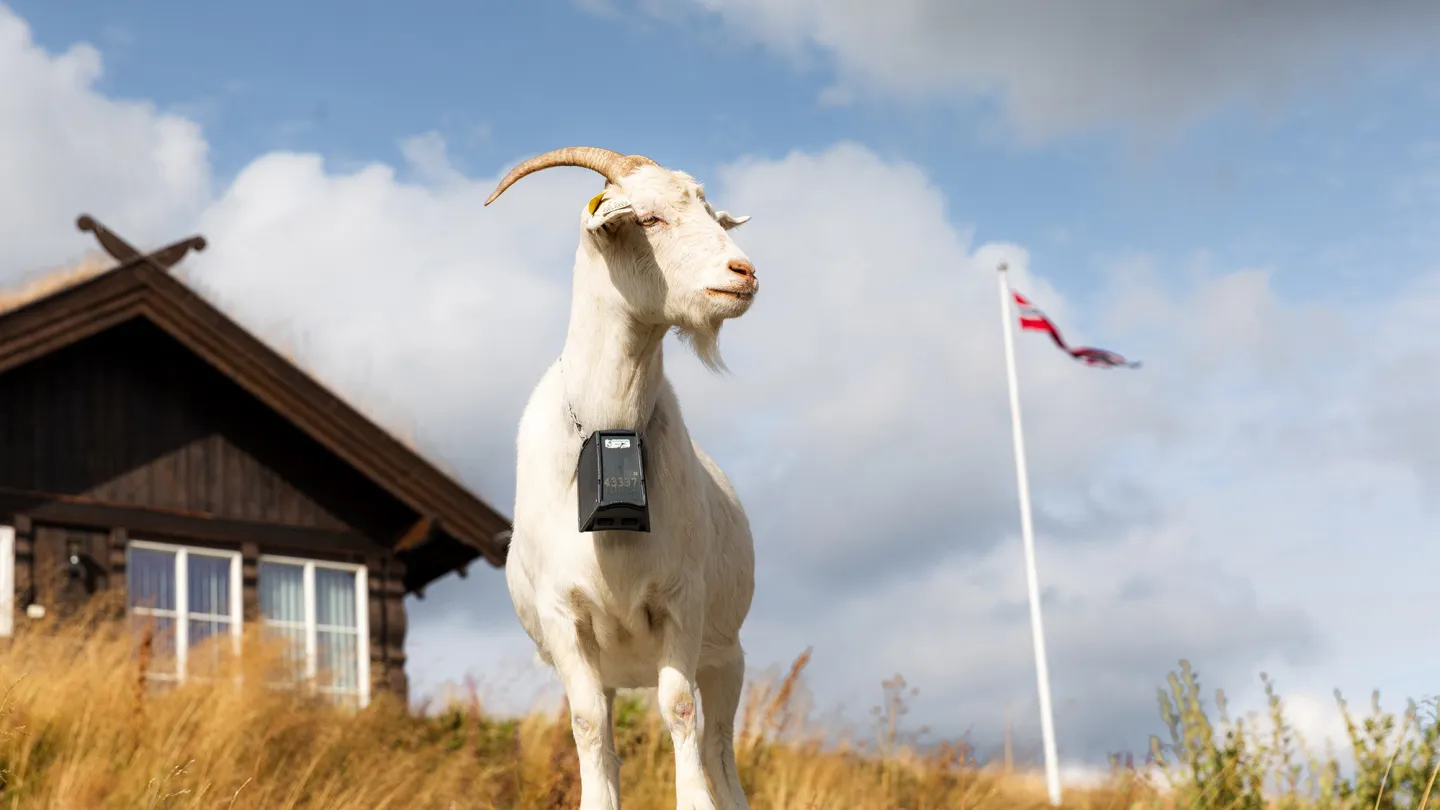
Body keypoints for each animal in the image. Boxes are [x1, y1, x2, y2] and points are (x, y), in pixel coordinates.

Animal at [486, 148, 760, 807]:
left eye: (710, 211)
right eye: (648, 217)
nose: (743, 272)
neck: (609, 429)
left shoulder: (681, 603)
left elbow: (680, 710)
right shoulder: (565, 617)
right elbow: (588, 724)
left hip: (726, 656)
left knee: (720, 747)